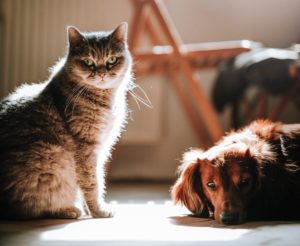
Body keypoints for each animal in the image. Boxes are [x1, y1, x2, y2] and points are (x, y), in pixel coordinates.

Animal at [0, 22, 134, 219]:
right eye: (88, 62)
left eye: (112, 60)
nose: (102, 73)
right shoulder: (86, 149)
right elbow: (93, 183)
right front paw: (98, 211)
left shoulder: (101, 149)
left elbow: (91, 182)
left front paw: (90, 210)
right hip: (53, 159)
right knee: (34, 209)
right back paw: (69, 210)